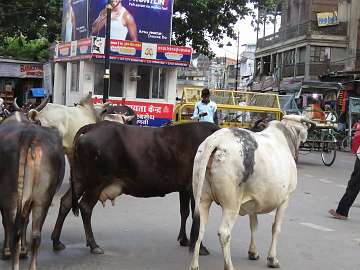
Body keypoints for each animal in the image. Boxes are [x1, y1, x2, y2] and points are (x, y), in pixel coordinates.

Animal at [0, 112, 64, 270]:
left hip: (10, 195)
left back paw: (11, 256)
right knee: (35, 234)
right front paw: (24, 250)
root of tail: (29, 135)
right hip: (43, 197)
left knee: (12, 228)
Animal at [51, 121, 219, 254]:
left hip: (80, 180)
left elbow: (184, 212)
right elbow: (197, 217)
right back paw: (93, 245)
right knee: (85, 207)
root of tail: (93, 126)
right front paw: (199, 247)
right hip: (96, 182)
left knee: (66, 202)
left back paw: (57, 241)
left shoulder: (184, 189)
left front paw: (184, 240)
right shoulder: (195, 189)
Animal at [190, 115, 314, 270]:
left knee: (199, 229)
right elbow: (276, 228)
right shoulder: (285, 199)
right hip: (231, 205)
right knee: (224, 233)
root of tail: (217, 140)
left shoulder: (253, 200)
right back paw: (229, 266)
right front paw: (272, 259)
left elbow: (254, 226)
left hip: (203, 199)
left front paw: (253, 252)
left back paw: (194, 265)